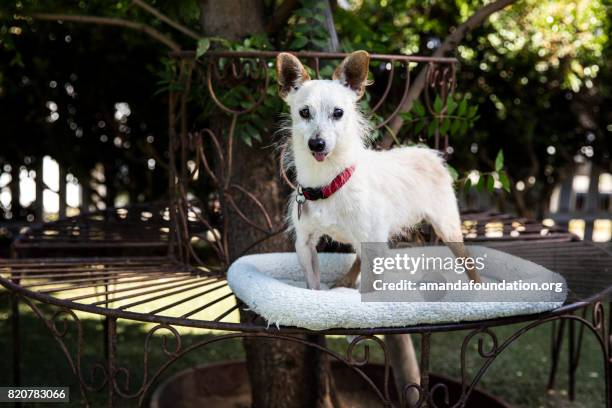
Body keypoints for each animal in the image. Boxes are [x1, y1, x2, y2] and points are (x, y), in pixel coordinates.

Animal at [274, 50, 480, 290]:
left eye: (338, 113)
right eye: (305, 112)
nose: (317, 144)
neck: (329, 181)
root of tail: (430, 154)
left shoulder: (373, 246)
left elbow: (370, 288)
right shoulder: (305, 245)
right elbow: (314, 288)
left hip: (447, 227)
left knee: (468, 259)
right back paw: (346, 280)